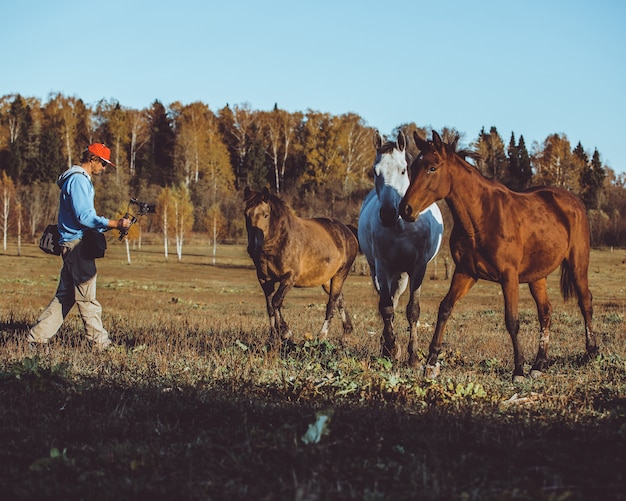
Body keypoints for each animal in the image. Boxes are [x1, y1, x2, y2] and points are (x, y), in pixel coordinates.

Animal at [245, 187, 360, 344]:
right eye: (246, 215)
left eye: (265, 215)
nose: (253, 247)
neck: (281, 241)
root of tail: (347, 231)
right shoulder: (264, 280)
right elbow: (270, 306)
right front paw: (273, 336)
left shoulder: (289, 278)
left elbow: (276, 301)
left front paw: (286, 332)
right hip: (326, 281)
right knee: (339, 299)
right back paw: (346, 333)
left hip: (340, 274)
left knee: (332, 303)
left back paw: (322, 335)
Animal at [358, 129, 442, 364]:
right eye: (375, 171)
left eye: (403, 170)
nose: (387, 213)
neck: (401, 227)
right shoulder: (382, 267)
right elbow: (386, 308)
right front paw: (392, 348)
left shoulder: (418, 268)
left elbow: (413, 310)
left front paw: (413, 356)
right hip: (380, 271)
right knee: (388, 302)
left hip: (402, 275)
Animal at [398, 131, 596, 380]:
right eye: (413, 168)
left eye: (432, 168)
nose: (405, 209)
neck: (480, 218)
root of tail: (573, 201)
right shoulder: (465, 273)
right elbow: (445, 308)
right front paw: (431, 362)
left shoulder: (508, 277)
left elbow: (512, 320)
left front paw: (518, 369)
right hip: (537, 276)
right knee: (545, 312)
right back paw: (539, 363)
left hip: (578, 265)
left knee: (585, 302)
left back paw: (591, 352)